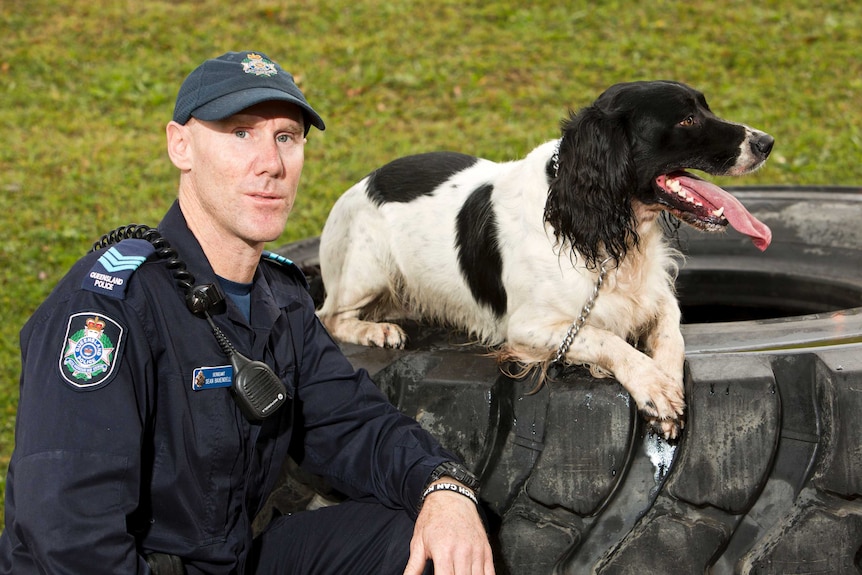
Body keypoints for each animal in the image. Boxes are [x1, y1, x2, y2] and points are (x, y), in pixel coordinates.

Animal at [318, 81, 776, 438]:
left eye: (705, 108)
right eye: (687, 121)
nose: (766, 143)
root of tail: (364, 180)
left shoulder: (655, 295)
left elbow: (670, 333)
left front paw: (666, 380)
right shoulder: (527, 328)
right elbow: (605, 338)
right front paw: (653, 387)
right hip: (367, 270)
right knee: (330, 316)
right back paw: (376, 331)